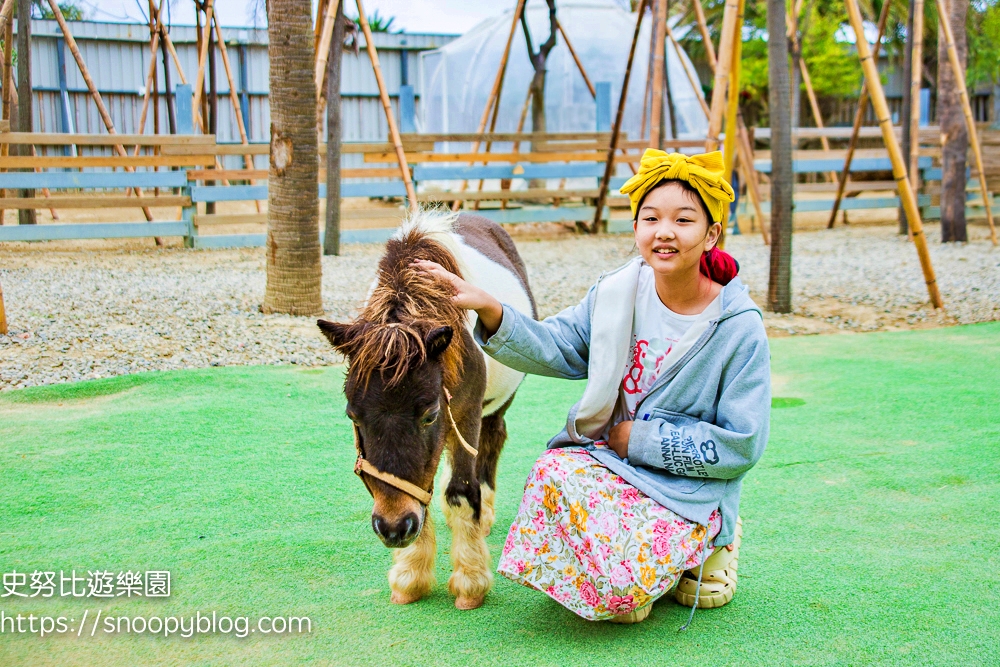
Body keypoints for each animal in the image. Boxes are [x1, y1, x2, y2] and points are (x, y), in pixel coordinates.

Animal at [318, 209, 540, 612]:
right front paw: (411, 575)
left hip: (495, 408)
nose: (394, 528)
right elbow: (423, 491)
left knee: (492, 440)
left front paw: (470, 581)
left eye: (430, 415)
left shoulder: (464, 414)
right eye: (352, 416)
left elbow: (460, 491)